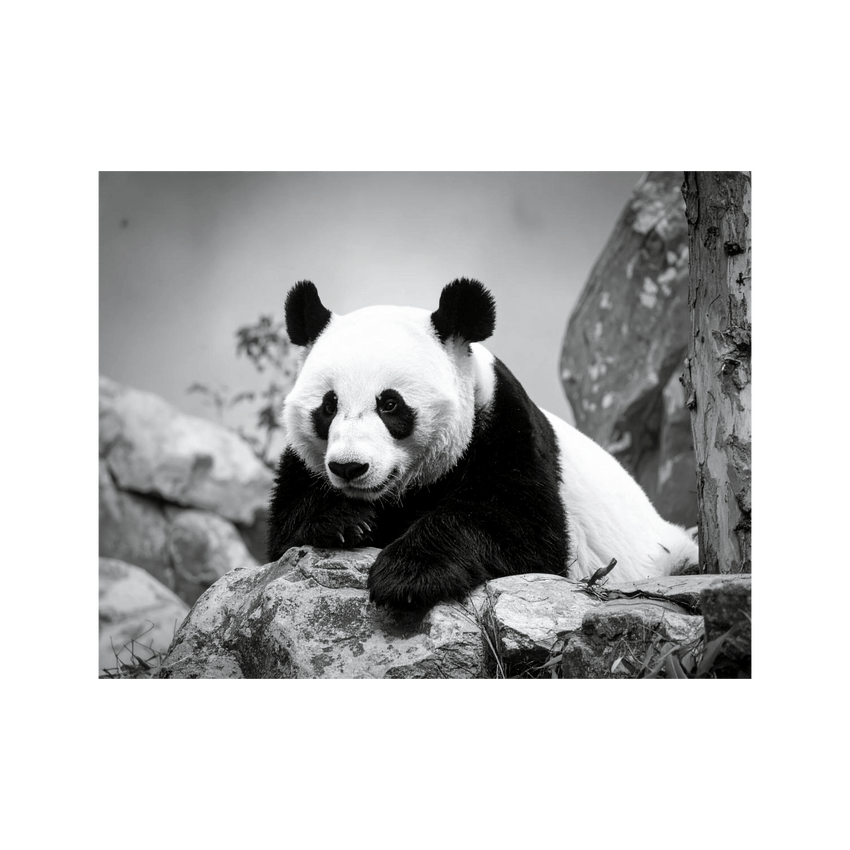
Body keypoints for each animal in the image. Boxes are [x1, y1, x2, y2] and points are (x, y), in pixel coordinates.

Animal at [268, 278, 698, 610]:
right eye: (328, 406)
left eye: (390, 404)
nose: (349, 467)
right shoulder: (303, 468)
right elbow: (286, 527)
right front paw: (344, 523)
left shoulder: (507, 431)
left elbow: (520, 529)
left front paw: (407, 576)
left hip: (665, 552)